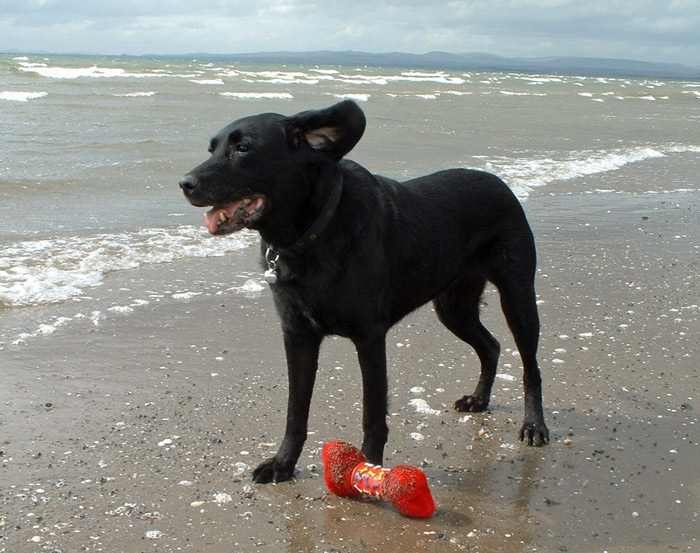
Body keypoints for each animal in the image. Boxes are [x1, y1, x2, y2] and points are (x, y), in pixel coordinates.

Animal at [178, 101, 548, 480]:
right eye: (212, 149)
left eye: (243, 148)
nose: (185, 183)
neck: (313, 235)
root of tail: (501, 184)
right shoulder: (297, 335)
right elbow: (296, 411)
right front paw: (283, 464)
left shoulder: (370, 337)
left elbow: (372, 413)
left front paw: (369, 467)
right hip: (453, 306)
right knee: (491, 346)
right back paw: (479, 400)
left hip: (518, 295)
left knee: (530, 366)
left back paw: (534, 427)